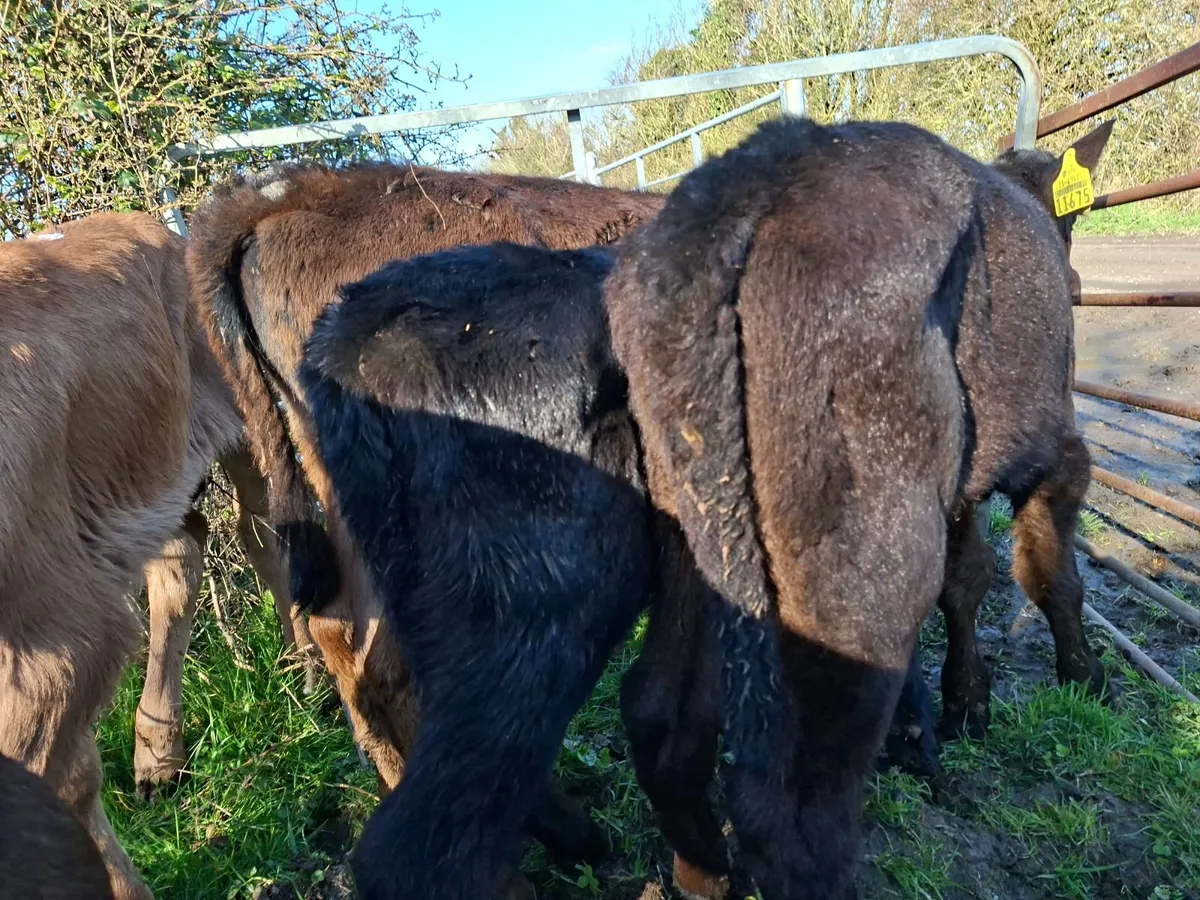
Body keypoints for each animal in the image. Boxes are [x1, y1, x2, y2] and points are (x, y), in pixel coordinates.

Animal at [604, 115, 1113, 899]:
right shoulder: (1054, 447)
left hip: (695, 534)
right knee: (804, 800)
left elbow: (968, 580)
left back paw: (704, 877)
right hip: (861, 575)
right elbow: (1050, 574)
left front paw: (966, 703)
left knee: (663, 717)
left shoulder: (957, 489)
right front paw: (1084, 681)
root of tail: (741, 194)